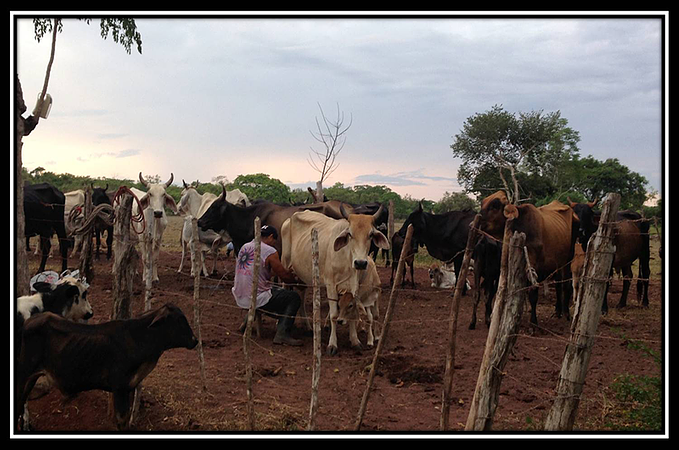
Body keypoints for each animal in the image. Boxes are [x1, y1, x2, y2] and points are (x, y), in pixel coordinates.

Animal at [14, 304, 198, 430]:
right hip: (24, 375)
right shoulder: (120, 387)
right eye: (179, 320)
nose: (195, 340)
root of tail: (30, 320)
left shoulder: (128, 387)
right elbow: (121, 421)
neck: (139, 339)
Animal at [280, 206, 388, 356]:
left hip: (303, 276)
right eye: (350, 234)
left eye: (371, 234)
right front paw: (332, 345)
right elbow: (334, 315)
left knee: (301, 296)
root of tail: (290, 218)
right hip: (285, 266)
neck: (347, 259)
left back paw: (308, 327)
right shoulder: (331, 285)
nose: (360, 263)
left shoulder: (354, 288)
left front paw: (355, 341)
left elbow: (353, 313)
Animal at [478, 190, 580, 326]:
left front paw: (533, 322)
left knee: (565, 285)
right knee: (559, 285)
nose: (474, 222)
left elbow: (533, 295)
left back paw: (566, 313)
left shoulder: (536, 268)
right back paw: (558, 311)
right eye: (483, 202)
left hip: (568, 259)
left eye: (495, 205)